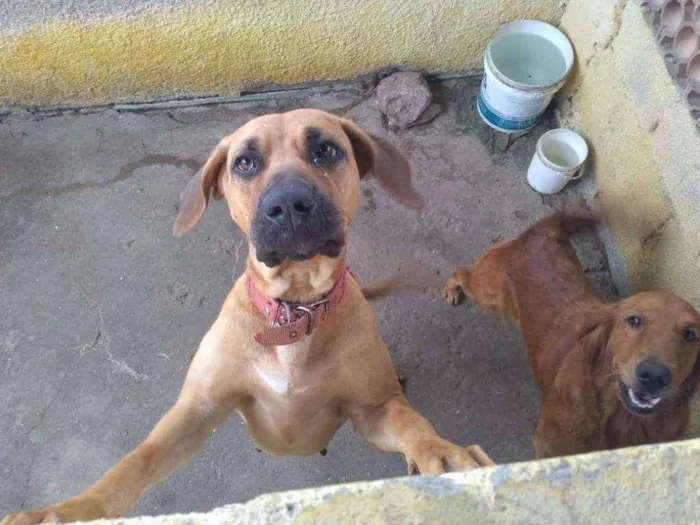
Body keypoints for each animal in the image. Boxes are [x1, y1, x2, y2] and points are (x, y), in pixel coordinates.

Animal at [1, 108, 492, 520]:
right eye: (244, 163)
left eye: (327, 149)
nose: (289, 204)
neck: (295, 311)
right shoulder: (197, 409)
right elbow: (135, 461)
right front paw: (68, 510)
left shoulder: (374, 409)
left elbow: (412, 423)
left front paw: (441, 453)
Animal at [442, 210, 700, 458]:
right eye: (634, 320)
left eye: (690, 335)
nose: (654, 376)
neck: (622, 419)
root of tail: (542, 230)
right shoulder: (547, 447)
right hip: (488, 293)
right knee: (462, 272)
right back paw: (452, 288)